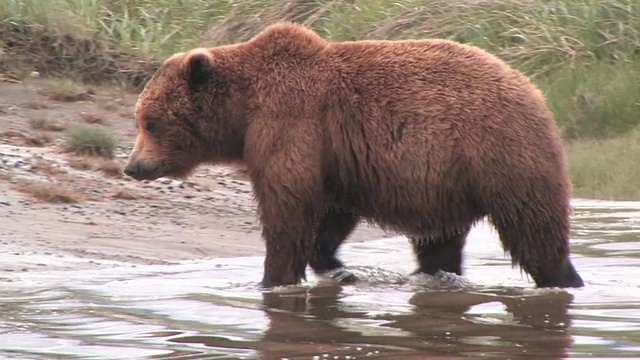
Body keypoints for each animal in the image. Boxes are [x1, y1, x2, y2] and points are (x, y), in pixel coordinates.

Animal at [124, 22, 584, 288]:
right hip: (449, 181)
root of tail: (535, 91)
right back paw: (434, 273)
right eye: (140, 118)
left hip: (500, 154)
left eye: (151, 122)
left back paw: (563, 278)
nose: (134, 166)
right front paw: (336, 266)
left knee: (533, 229)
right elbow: (328, 215)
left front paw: (273, 280)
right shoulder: (333, 157)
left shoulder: (291, 124)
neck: (245, 110)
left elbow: (287, 209)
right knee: (441, 240)